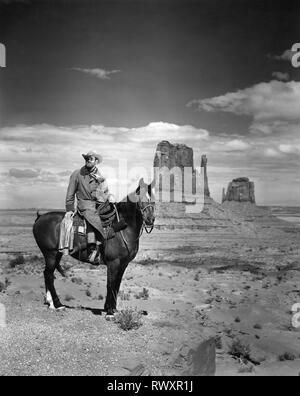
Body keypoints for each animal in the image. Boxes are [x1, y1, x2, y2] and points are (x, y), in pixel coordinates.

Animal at [32, 179, 155, 316]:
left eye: (153, 199)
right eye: (140, 199)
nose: (150, 219)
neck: (123, 228)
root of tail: (39, 217)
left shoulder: (123, 264)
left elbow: (117, 285)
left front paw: (112, 309)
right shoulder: (113, 262)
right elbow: (110, 284)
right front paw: (110, 312)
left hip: (56, 254)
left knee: (48, 274)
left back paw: (51, 303)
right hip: (50, 254)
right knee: (48, 275)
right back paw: (58, 304)